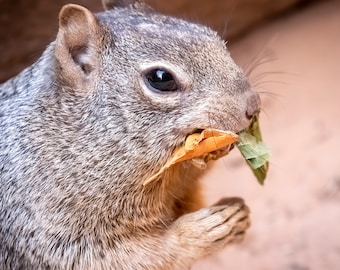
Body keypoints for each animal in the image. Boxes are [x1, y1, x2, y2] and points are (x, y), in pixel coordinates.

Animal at [0, 0, 260, 268]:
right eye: (160, 78)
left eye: (216, 38)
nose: (253, 106)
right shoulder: (46, 229)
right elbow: (136, 258)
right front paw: (200, 232)